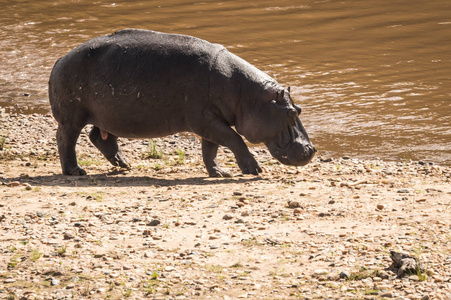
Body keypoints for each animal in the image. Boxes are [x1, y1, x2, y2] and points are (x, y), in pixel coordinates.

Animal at [49, 29, 316, 177]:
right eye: (291, 113)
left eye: (299, 109)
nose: (312, 149)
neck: (247, 96)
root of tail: (60, 58)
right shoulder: (205, 120)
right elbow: (234, 139)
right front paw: (254, 169)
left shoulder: (211, 121)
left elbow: (211, 149)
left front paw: (220, 173)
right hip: (72, 118)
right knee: (65, 140)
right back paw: (76, 171)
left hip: (108, 116)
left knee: (100, 137)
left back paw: (124, 164)